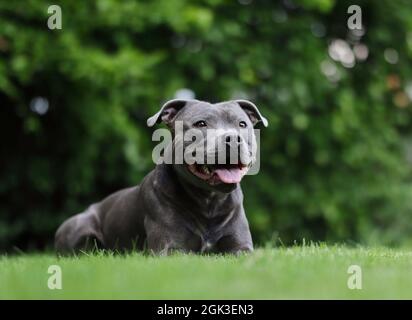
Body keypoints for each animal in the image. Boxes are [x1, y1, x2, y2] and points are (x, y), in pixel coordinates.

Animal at [54, 99, 268, 254]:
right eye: (201, 123)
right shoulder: (171, 248)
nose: (233, 138)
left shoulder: (241, 247)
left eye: (242, 124)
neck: (209, 202)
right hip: (79, 230)